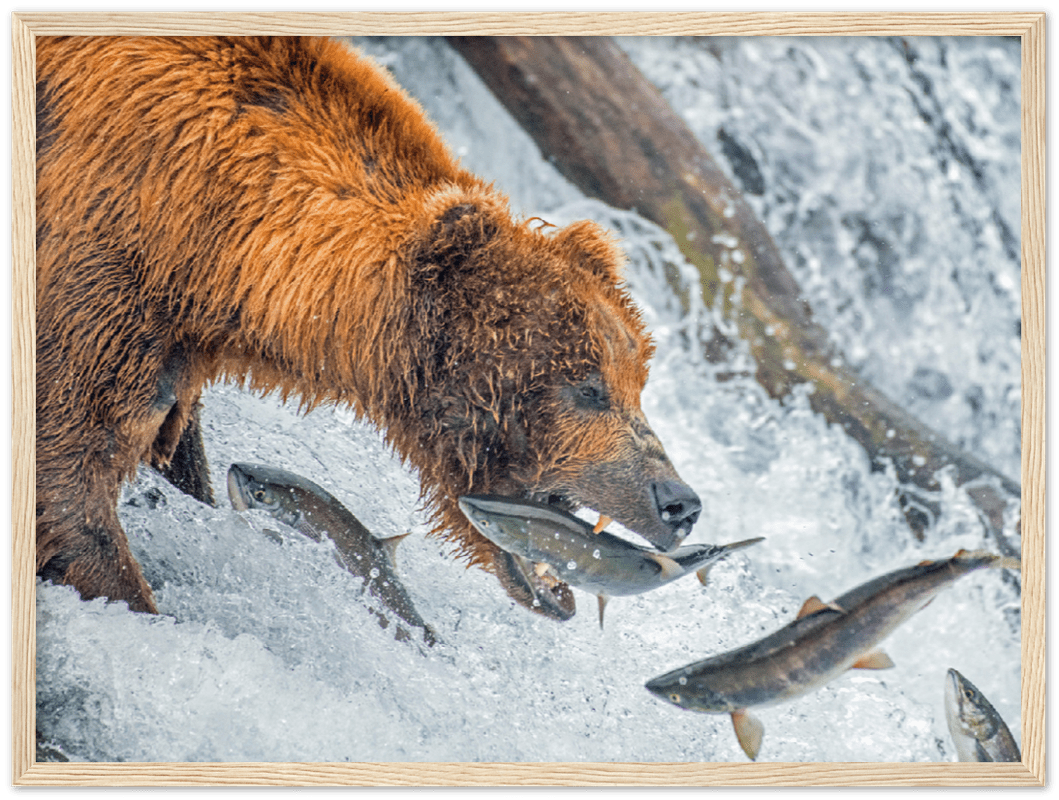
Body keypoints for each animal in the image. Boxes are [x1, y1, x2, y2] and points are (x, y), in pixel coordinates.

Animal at [35, 36, 701, 621]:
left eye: (636, 380)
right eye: (587, 387)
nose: (679, 502)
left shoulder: (174, 340)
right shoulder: (103, 269)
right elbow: (67, 476)